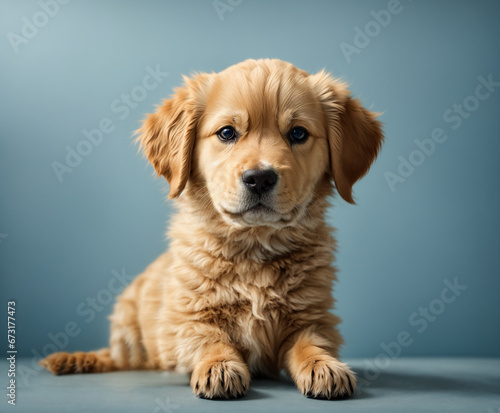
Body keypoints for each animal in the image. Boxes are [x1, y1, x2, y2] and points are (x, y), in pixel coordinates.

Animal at [41, 58, 382, 400]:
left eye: (298, 133)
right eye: (227, 133)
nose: (260, 178)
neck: (254, 245)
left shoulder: (313, 315)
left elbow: (309, 342)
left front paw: (323, 365)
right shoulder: (184, 319)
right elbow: (210, 338)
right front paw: (218, 366)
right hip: (127, 324)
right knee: (117, 358)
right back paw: (75, 359)